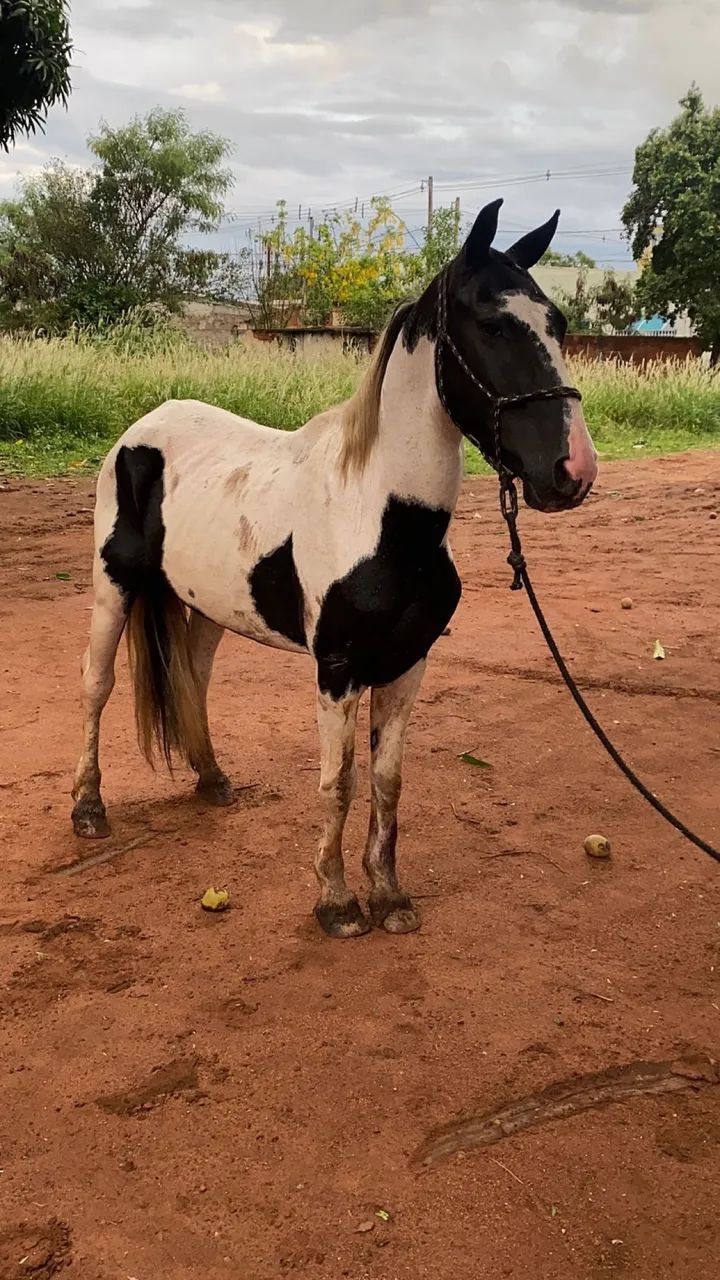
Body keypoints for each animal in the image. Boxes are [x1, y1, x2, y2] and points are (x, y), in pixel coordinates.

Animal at [71, 198, 598, 938]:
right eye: (493, 324)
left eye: (559, 323)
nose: (572, 470)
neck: (379, 514)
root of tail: (141, 430)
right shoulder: (338, 670)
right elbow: (338, 781)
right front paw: (339, 902)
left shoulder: (407, 665)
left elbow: (386, 781)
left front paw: (390, 896)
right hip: (111, 587)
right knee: (97, 684)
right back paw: (88, 808)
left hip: (209, 605)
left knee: (192, 679)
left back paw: (211, 778)